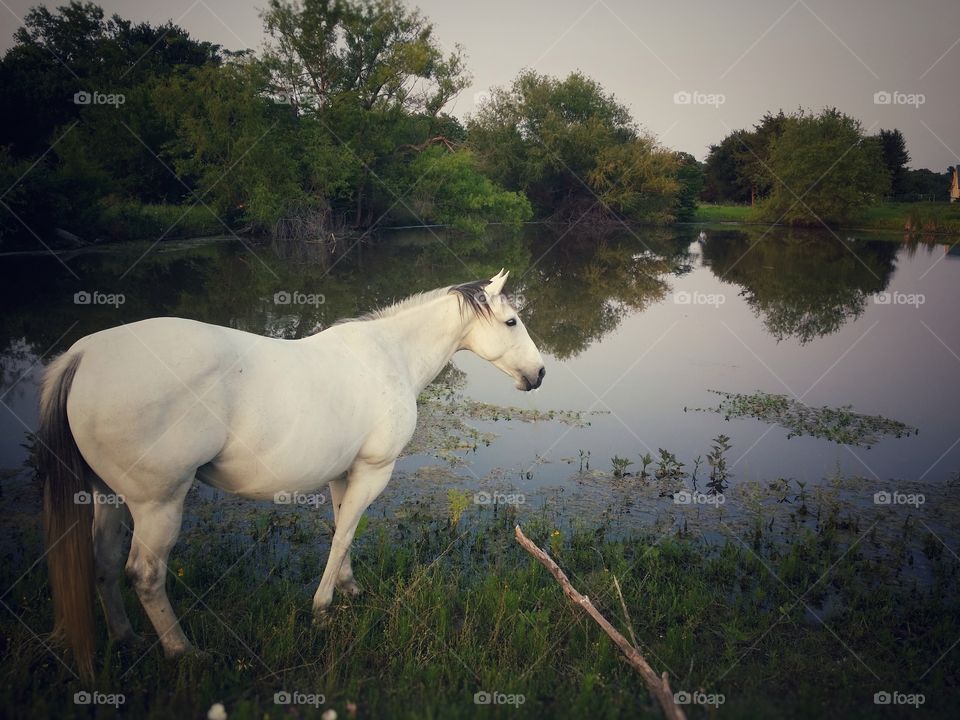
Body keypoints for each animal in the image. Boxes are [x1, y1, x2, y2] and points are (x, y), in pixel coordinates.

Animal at [37, 268, 544, 676]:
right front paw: (322, 609)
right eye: (512, 321)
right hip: (157, 503)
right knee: (144, 573)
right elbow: (343, 535)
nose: (539, 374)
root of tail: (83, 356)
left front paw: (349, 588)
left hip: (108, 496)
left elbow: (343, 531)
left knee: (104, 563)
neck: (390, 355)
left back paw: (126, 638)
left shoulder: (344, 474)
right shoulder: (373, 472)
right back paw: (185, 653)